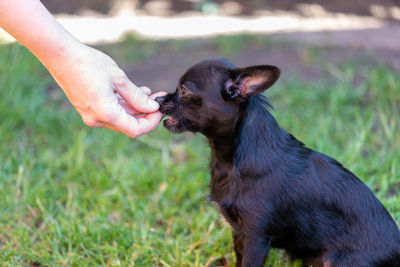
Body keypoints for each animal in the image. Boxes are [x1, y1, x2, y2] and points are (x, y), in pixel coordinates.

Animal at [155, 59, 400, 266]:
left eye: (184, 90)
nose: (158, 99)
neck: (231, 159)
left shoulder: (256, 237)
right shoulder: (239, 234)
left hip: (339, 261)